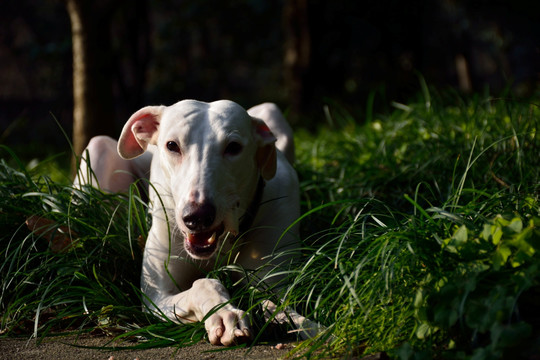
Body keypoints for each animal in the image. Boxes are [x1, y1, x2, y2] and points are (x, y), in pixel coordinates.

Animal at [75, 99, 302, 346]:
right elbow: (203, 283)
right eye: (172, 145)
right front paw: (223, 313)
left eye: (233, 147)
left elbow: (275, 300)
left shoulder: (273, 277)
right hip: (97, 153)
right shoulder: (157, 298)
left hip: (271, 111)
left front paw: (302, 324)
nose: (197, 217)